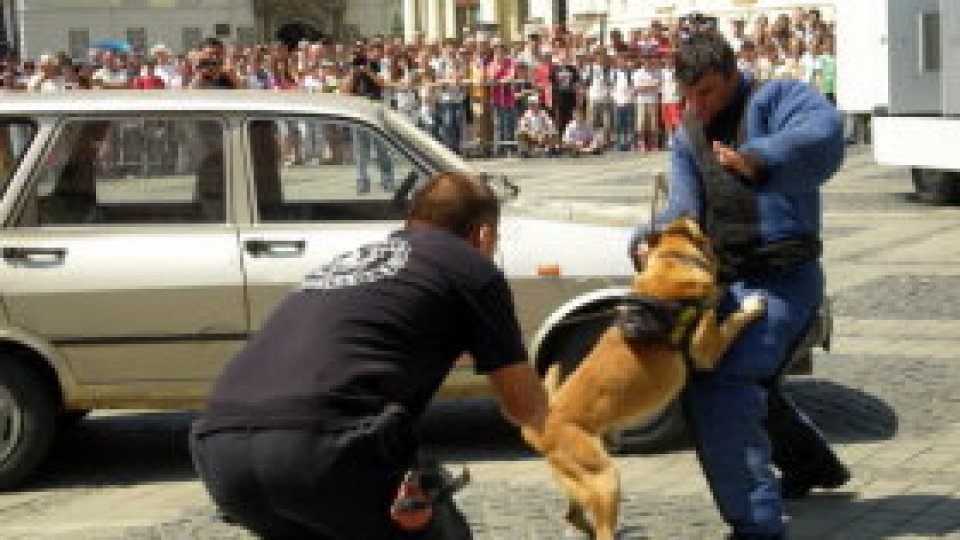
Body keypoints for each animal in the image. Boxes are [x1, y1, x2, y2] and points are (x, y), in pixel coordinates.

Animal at [520, 217, 760, 536]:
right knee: (601, 529)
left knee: (573, 515)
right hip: (605, 476)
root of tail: (537, 428)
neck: (671, 260)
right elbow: (729, 321)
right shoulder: (705, 351)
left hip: (581, 477)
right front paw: (749, 305)